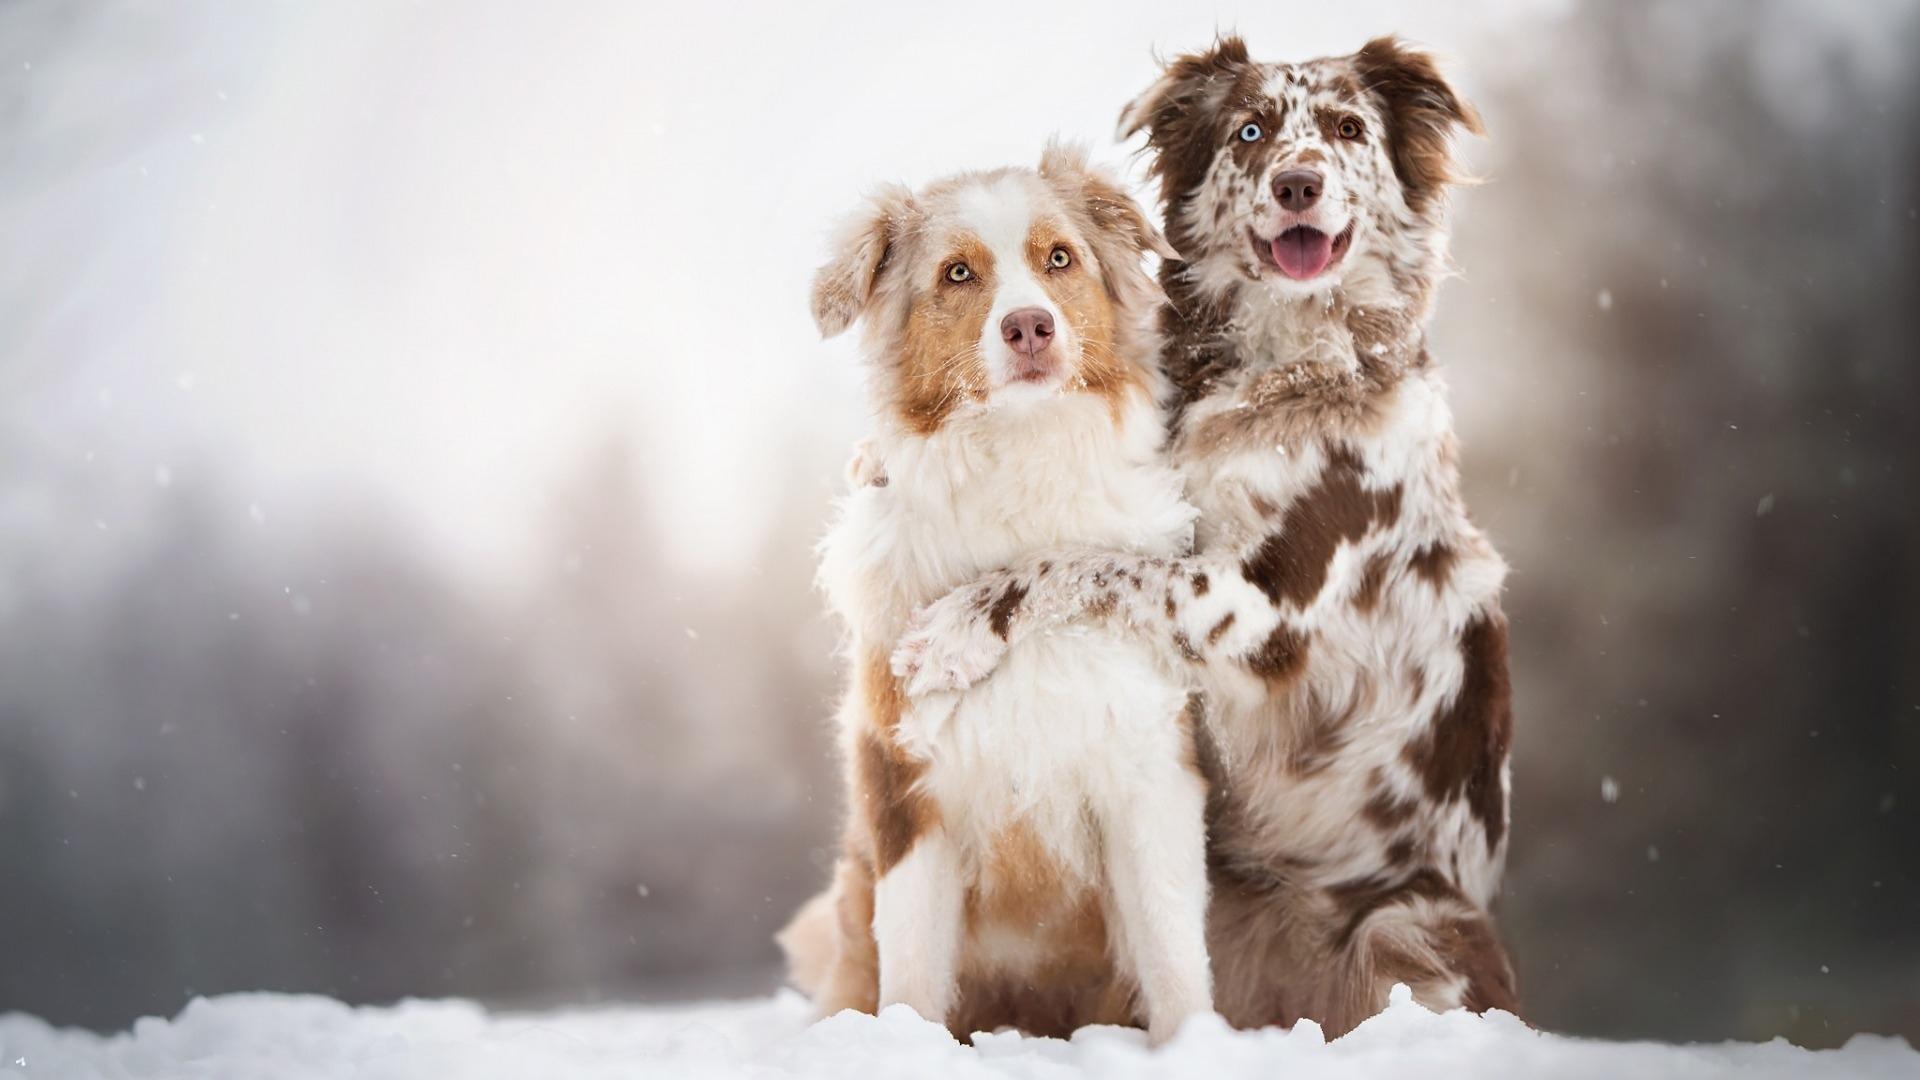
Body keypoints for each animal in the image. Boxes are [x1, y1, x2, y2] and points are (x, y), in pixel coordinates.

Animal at [787, 145, 1221, 1045]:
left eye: (1059, 258)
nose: (1029, 326)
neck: (1019, 465)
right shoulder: (905, 784)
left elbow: (1172, 952)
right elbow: (913, 974)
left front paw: (1196, 1049)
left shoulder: (1149, 767)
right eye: (958, 274)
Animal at [890, 35, 1520, 1037]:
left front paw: (959, 630)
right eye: (1250, 132)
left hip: (1406, 922)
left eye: (1349, 129)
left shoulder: (1269, 610)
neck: (1279, 375)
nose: (1299, 182)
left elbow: (1093, 562)